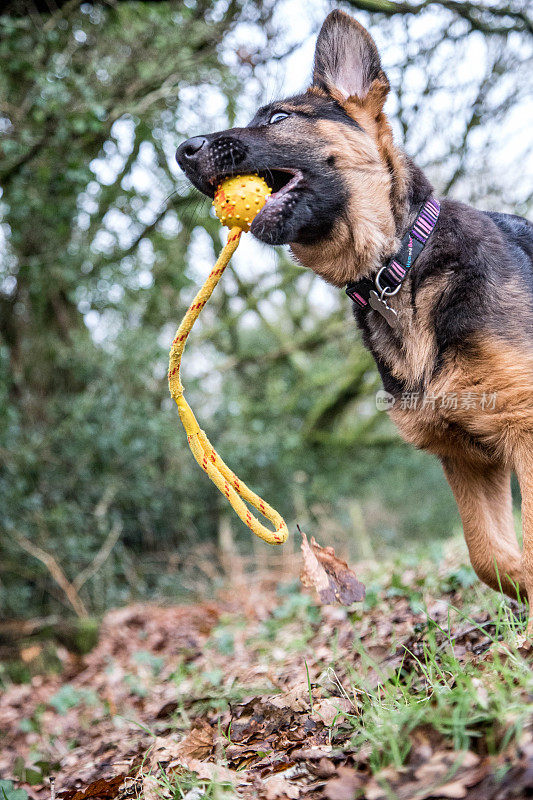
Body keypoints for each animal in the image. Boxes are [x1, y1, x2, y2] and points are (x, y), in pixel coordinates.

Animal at [178, 10, 532, 624]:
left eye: (278, 118)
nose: (181, 149)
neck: (399, 267)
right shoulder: (464, 455)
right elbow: (489, 556)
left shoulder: (524, 428)